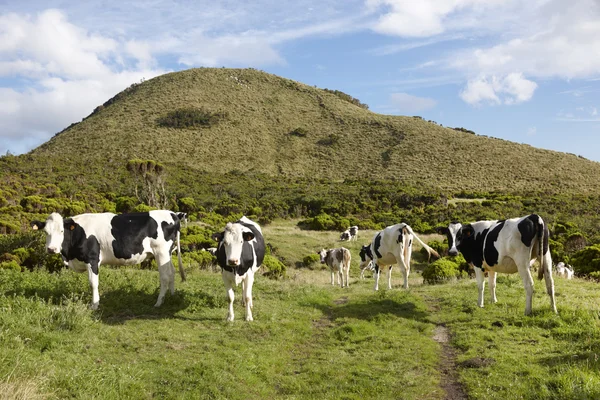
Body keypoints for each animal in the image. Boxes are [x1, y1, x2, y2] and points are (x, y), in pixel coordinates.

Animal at [30, 211, 184, 310]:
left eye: (62, 231)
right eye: (46, 232)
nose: (51, 249)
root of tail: (173, 214)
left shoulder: (92, 259)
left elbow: (93, 283)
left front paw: (94, 305)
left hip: (161, 252)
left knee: (165, 276)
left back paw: (159, 303)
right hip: (168, 253)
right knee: (172, 272)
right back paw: (172, 296)